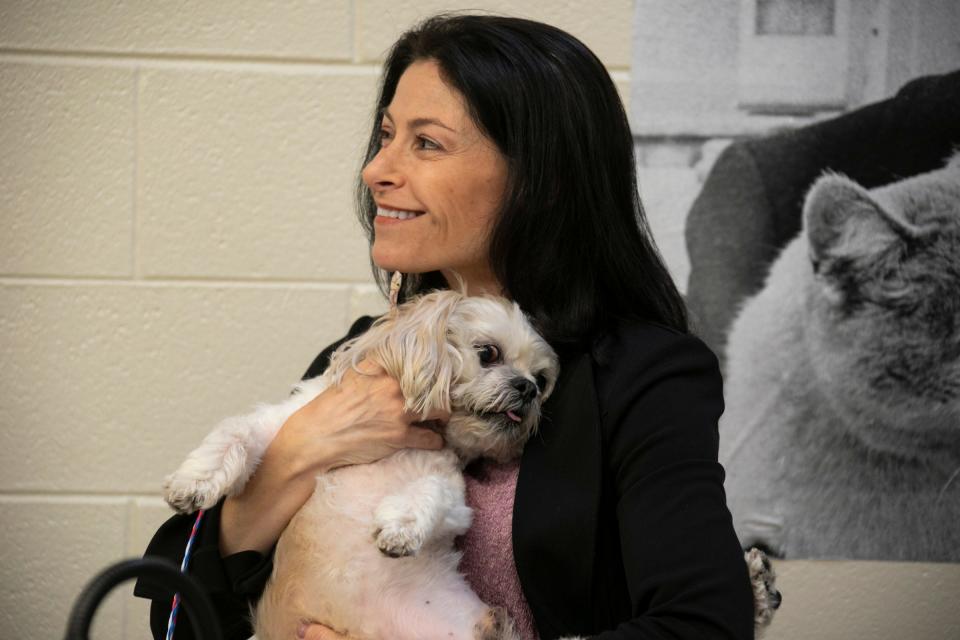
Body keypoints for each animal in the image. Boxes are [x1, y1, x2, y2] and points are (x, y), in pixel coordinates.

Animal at [161, 292, 560, 640]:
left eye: (541, 380)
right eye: (488, 352)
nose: (527, 388)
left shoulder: (452, 499)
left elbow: (427, 491)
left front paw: (399, 526)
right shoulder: (280, 426)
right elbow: (235, 432)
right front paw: (193, 481)